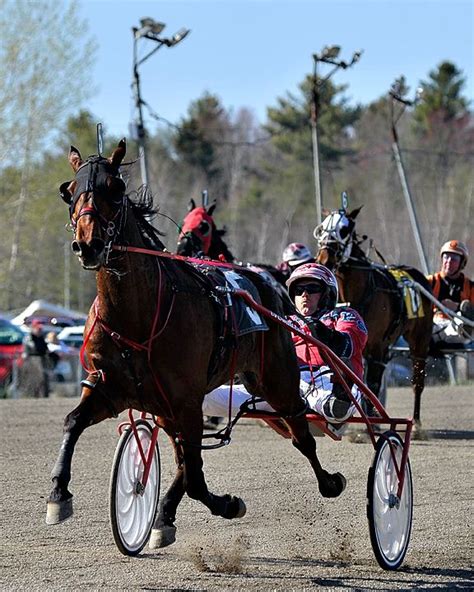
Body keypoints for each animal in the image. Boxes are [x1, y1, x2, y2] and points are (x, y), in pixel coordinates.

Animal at [46, 139, 346, 544]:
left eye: (117, 187)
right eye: (69, 191)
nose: (88, 244)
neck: (138, 317)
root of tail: (267, 284)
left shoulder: (186, 399)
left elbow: (195, 477)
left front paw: (228, 504)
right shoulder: (111, 389)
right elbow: (72, 422)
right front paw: (58, 494)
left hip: (275, 378)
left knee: (300, 430)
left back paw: (329, 481)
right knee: (186, 460)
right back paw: (163, 514)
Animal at [314, 206, 434, 428]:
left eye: (344, 229)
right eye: (324, 226)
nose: (324, 258)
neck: (358, 293)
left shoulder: (376, 346)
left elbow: (372, 383)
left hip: (420, 339)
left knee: (418, 379)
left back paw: (416, 422)